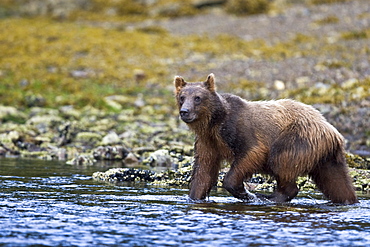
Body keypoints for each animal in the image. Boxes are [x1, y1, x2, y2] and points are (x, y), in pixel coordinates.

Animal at [173, 73, 358, 205]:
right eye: (182, 97)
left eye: (198, 98)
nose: (185, 111)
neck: (215, 122)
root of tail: (333, 131)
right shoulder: (208, 141)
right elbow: (204, 170)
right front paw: (194, 196)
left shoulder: (238, 128)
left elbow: (252, 152)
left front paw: (245, 192)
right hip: (325, 156)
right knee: (336, 181)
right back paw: (347, 199)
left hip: (297, 138)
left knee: (280, 161)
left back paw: (271, 197)